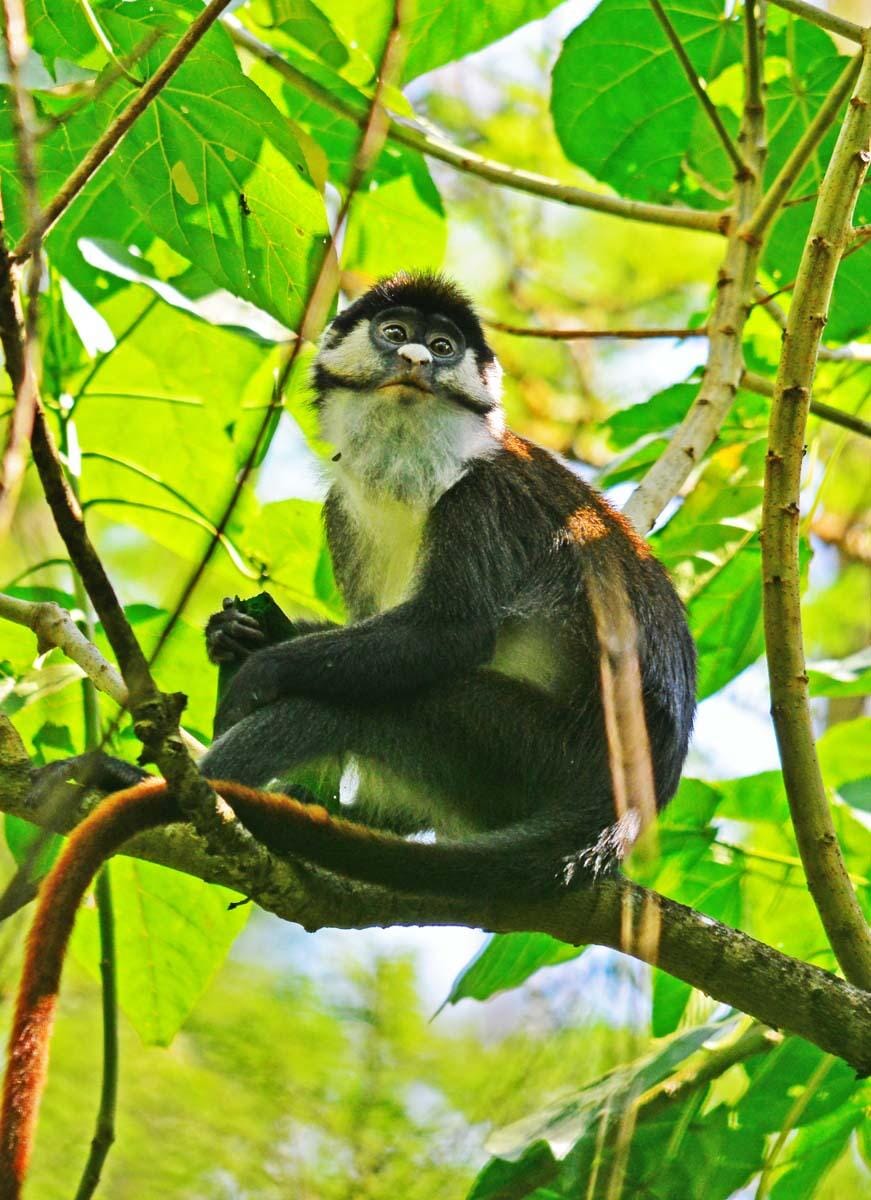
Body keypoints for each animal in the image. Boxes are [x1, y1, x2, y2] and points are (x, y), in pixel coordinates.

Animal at [1, 272, 695, 1194]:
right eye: (395, 332)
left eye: (443, 347)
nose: (415, 359)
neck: (417, 476)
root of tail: (622, 806)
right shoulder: (342, 512)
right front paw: (244, 635)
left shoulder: (482, 498)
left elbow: (442, 633)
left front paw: (256, 672)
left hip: (521, 748)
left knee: (355, 707)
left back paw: (147, 786)